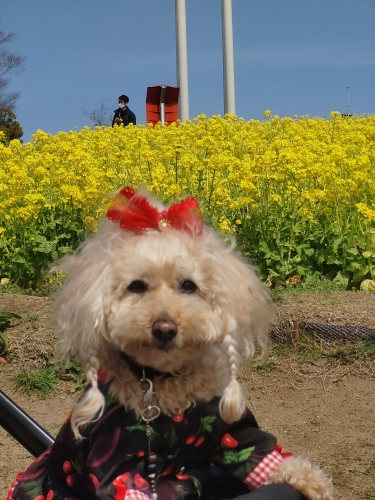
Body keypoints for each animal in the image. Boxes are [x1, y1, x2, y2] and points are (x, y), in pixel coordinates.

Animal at [8, 187, 334, 500]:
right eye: (136, 286)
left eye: (189, 285)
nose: (164, 329)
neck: (165, 382)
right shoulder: (118, 466)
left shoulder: (233, 433)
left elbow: (268, 455)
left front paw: (318, 485)